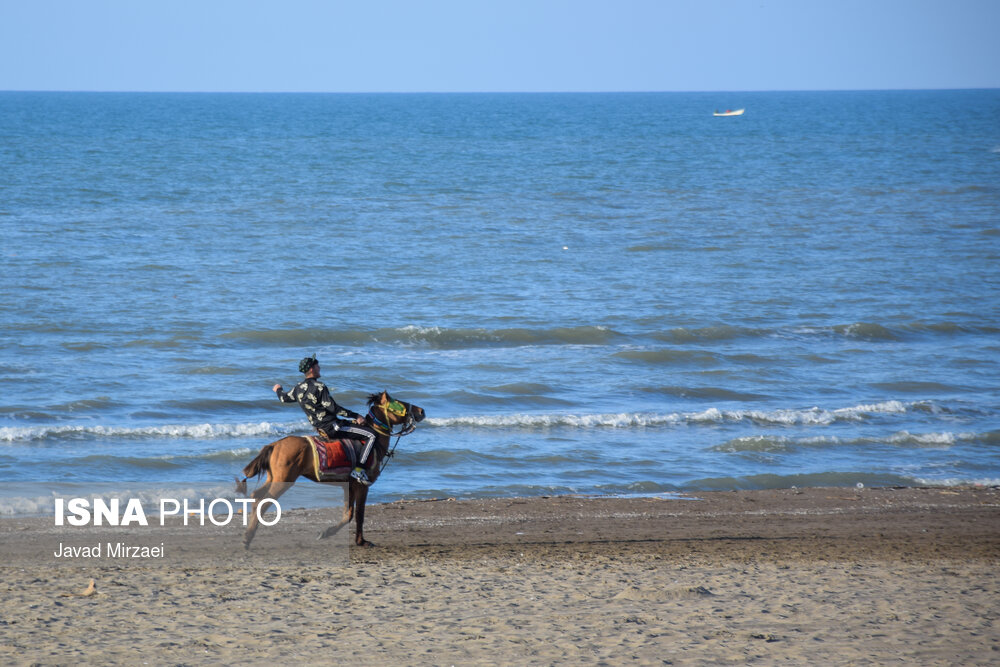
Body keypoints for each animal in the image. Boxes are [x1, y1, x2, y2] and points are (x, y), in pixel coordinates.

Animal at [236, 388, 424, 552]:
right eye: (398, 402)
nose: (421, 411)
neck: (373, 442)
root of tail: (275, 444)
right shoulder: (362, 486)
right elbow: (359, 514)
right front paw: (361, 541)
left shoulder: (348, 486)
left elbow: (348, 514)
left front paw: (326, 533)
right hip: (283, 481)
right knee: (264, 500)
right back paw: (247, 539)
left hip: (273, 478)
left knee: (257, 497)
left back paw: (248, 536)